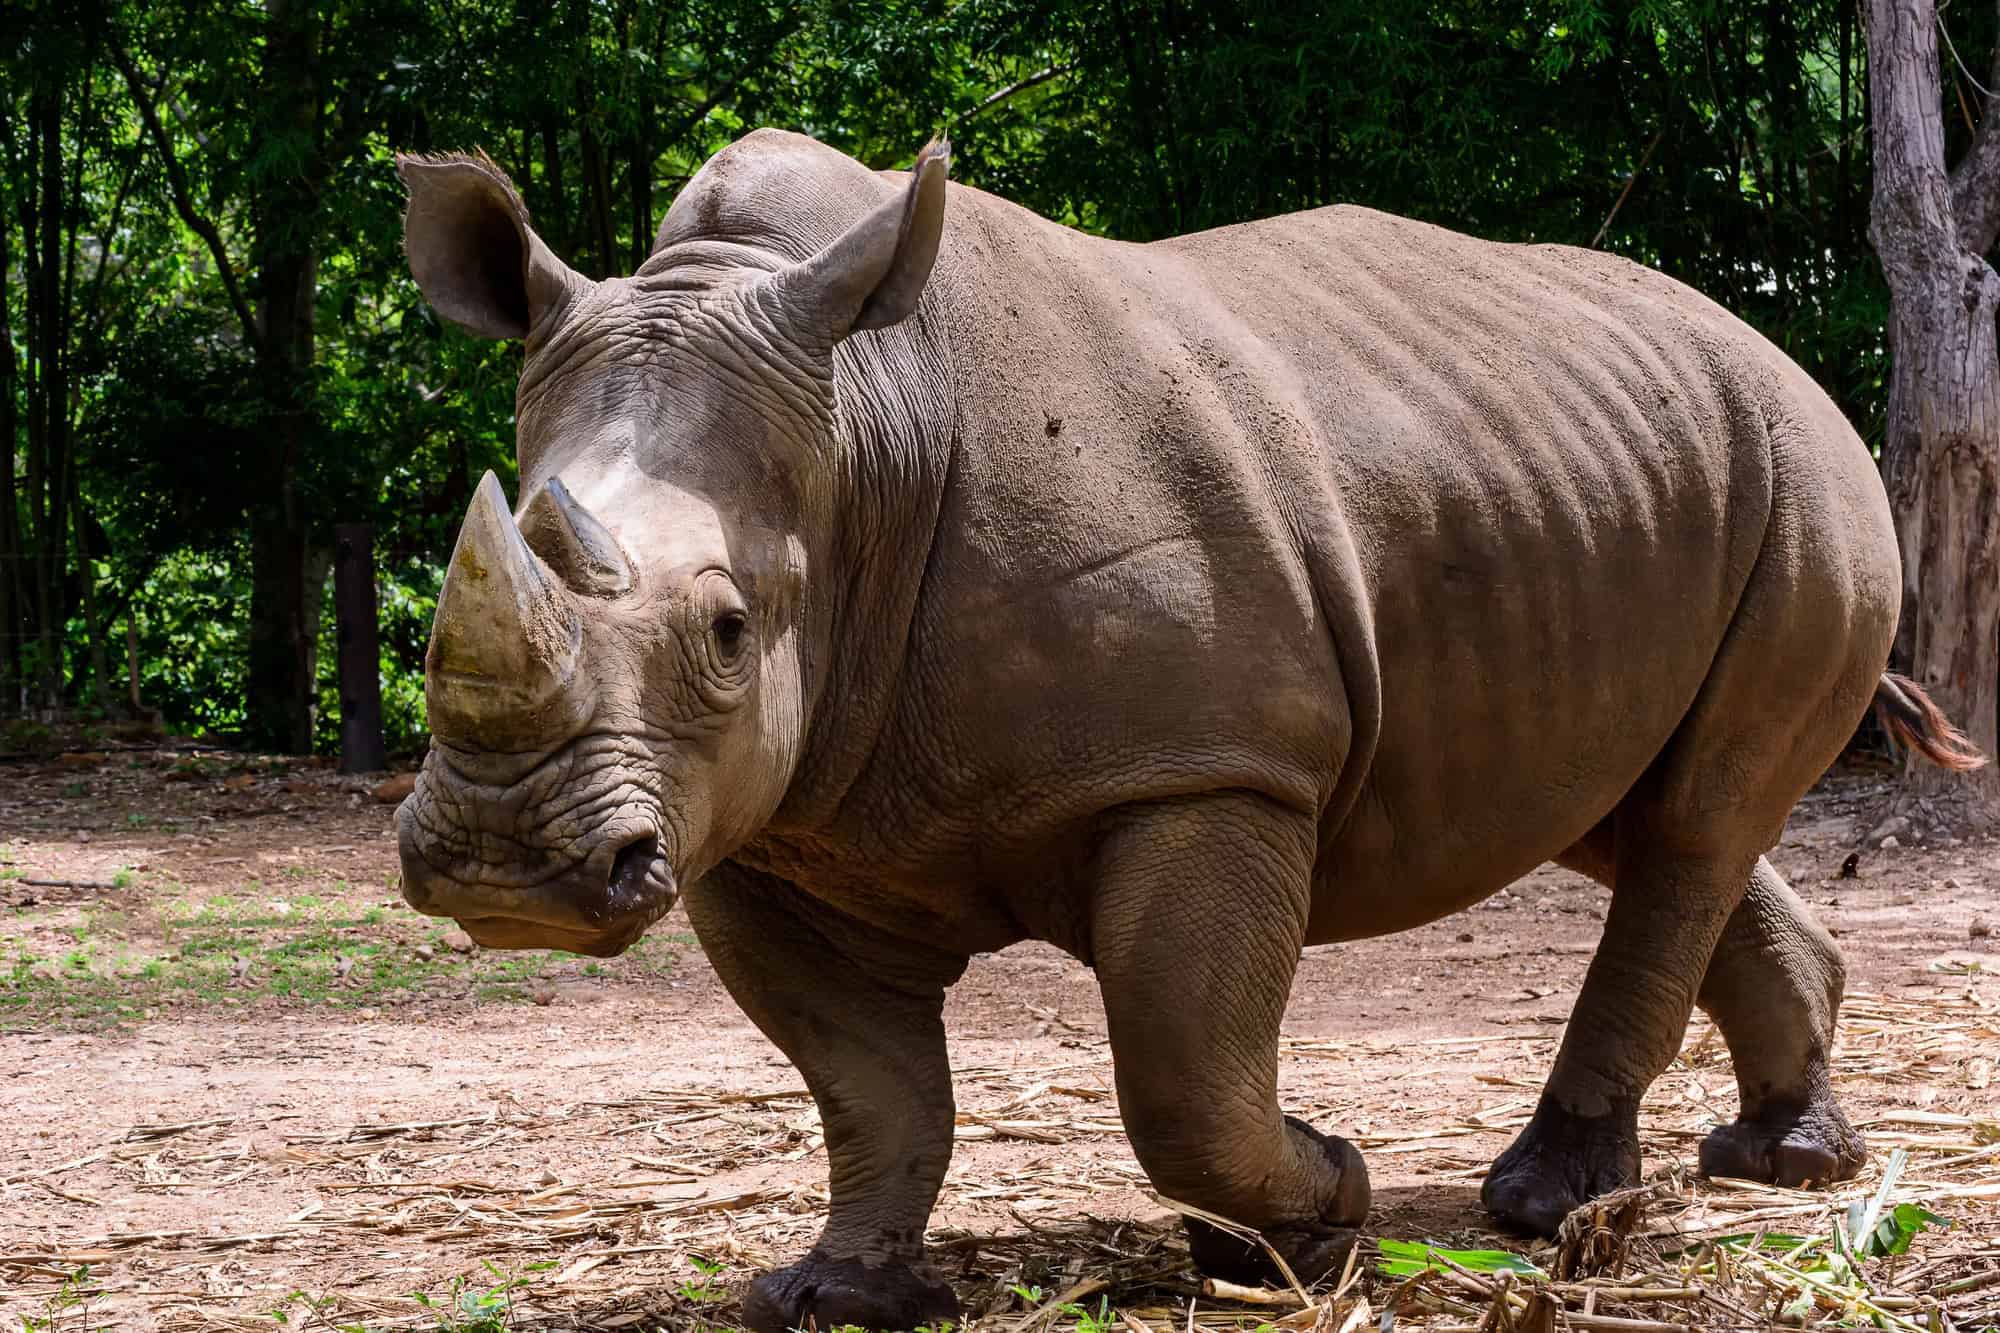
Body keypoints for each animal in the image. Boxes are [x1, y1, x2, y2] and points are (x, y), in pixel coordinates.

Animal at [393, 129, 1982, 1331]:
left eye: (728, 632)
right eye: (431, 627)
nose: (505, 871)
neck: (864, 432)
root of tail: (1769, 347)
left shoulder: (1204, 768)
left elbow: (1177, 1066)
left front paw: (1313, 1213)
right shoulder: (770, 822)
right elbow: (867, 1082)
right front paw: (836, 1294)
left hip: (1809, 470)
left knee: (1690, 820)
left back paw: (1544, 1202)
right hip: (1608, 484)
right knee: (1631, 813)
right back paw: (1786, 1157)